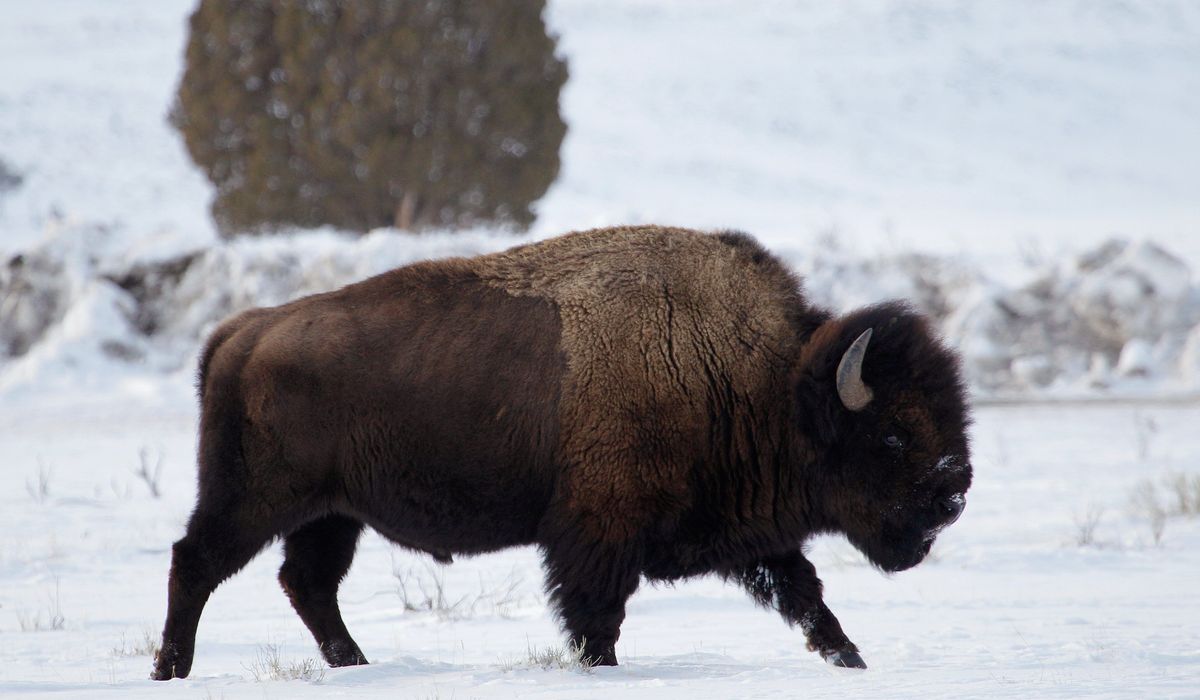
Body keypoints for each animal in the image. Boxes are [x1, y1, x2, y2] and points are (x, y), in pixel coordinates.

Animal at [152, 224, 974, 677]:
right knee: (197, 562)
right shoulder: (598, 533)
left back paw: (356, 665)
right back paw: (171, 671)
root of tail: (242, 330)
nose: (955, 492)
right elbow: (596, 616)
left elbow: (806, 597)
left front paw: (852, 661)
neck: (762, 379)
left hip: (331, 515)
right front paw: (601, 670)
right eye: (893, 433)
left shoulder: (751, 539)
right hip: (254, 500)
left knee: (307, 584)